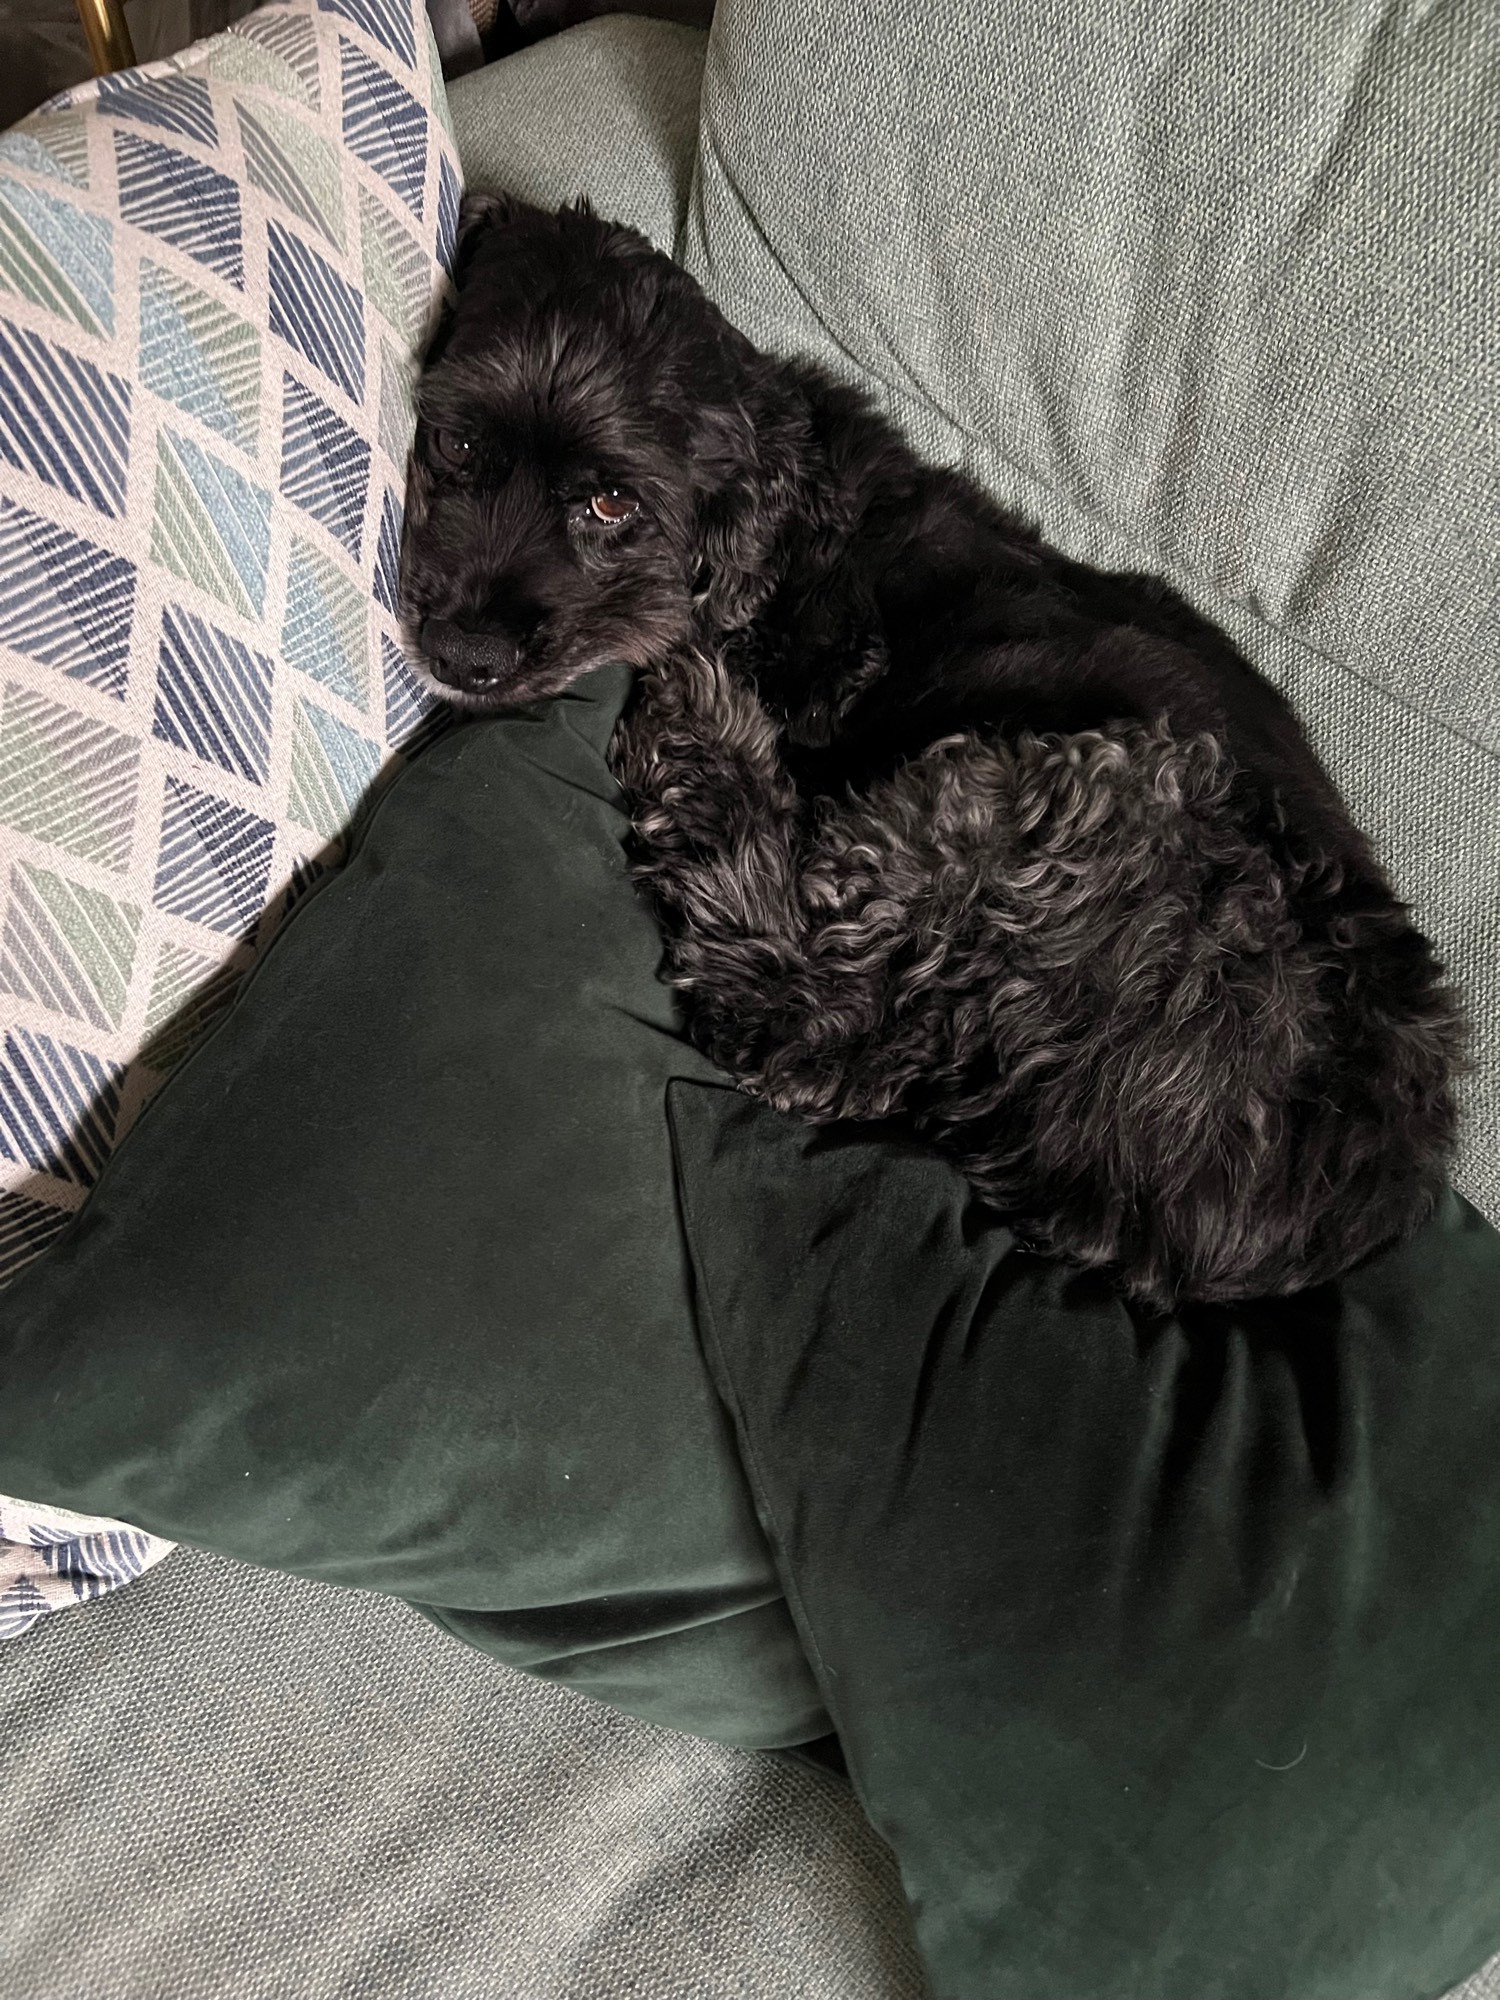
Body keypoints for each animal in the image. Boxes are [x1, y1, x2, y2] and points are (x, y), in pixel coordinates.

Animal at [402, 195, 1472, 1304]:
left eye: (612, 502)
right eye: (457, 443)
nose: (465, 654)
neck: (783, 516)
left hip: (1062, 800)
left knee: (804, 1017)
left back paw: (703, 738)